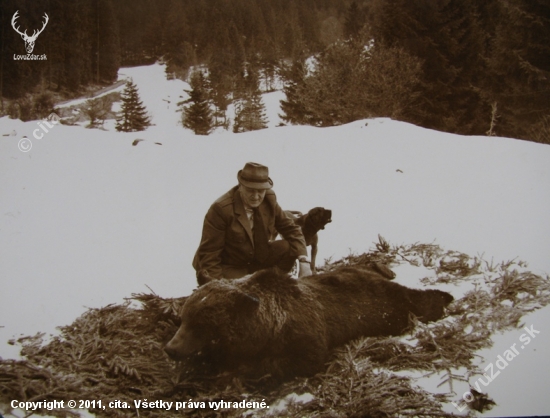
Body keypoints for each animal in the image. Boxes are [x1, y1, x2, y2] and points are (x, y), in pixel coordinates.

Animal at [165, 266, 458, 380]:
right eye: (183, 319)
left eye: (200, 325)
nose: (171, 348)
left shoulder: (304, 335)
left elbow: (300, 360)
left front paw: (233, 368)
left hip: (387, 310)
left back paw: (443, 298)